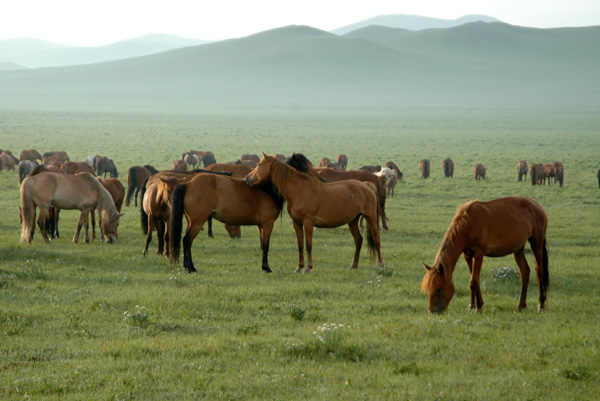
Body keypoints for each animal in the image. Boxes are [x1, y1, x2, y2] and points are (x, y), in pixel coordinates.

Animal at [245, 153, 382, 272]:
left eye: (259, 165)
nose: (247, 178)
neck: (300, 190)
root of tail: (367, 185)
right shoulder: (297, 223)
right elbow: (300, 244)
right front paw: (299, 268)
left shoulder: (308, 222)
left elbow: (308, 245)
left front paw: (308, 268)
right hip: (353, 221)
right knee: (358, 240)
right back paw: (354, 266)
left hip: (371, 218)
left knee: (376, 239)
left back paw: (381, 265)